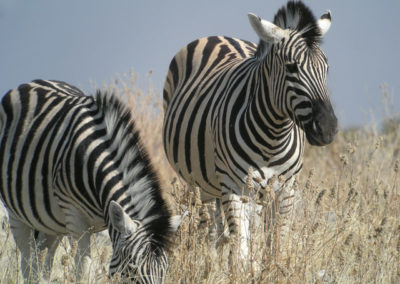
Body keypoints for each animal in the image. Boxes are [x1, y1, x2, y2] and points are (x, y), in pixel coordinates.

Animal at [0, 79, 180, 282]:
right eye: (132, 269)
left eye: (165, 270)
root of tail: (31, 83)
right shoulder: (75, 219)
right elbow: (83, 271)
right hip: (16, 212)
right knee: (28, 262)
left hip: (50, 223)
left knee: (42, 261)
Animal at [162, 1, 338, 260]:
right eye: (291, 67)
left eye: (326, 68)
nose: (327, 128)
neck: (273, 137)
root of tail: (218, 36)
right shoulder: (234, 188)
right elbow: (241, 251)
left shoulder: (286, 189)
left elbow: (277, 247)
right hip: (203, 185)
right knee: (211, 231)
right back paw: (210, 263)